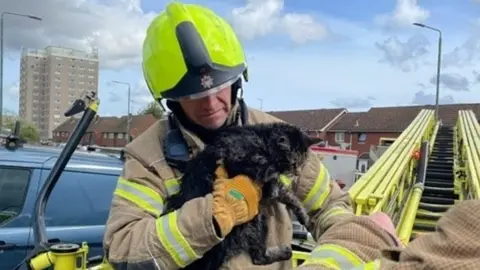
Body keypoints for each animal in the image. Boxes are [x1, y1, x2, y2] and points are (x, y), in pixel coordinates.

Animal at [165, 123, 316, 270]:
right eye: (294, 164)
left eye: (302, 163)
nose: (298, 172)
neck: (262, 139)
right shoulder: (236, 158)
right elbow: (266, 171)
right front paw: (272, 175)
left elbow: (288, 195)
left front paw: (303, 215)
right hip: (258, 219)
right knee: (259, 257)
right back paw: (285, 252)